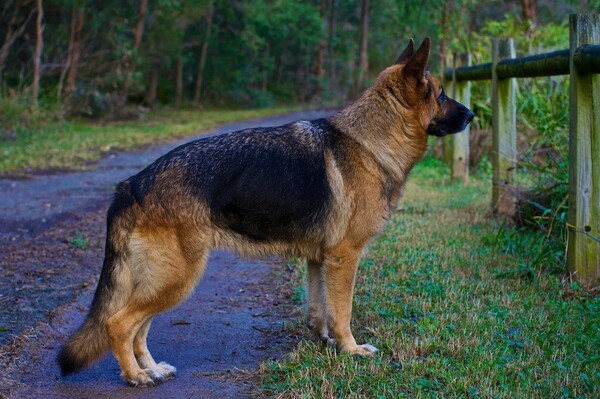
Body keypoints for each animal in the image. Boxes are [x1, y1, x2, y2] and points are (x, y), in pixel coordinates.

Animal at [58, 39, 476, 386]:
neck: (370, 142)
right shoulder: (345, 258)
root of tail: (133, 183)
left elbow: (319, 309)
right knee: (118, 323)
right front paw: (351, 350)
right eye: (441, 94)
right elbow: (342, 311)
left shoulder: (319, 260)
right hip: (175, 278)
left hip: (162, 280)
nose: (473, 115)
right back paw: (135, 376)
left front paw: (324, 342)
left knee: (138, 327)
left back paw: (151, 368)